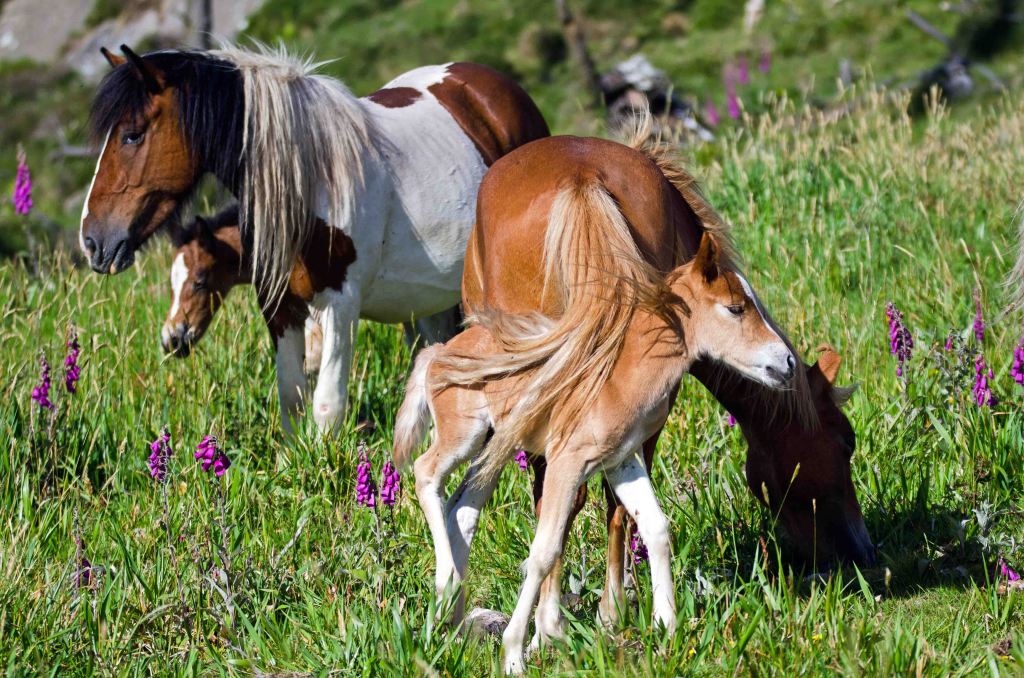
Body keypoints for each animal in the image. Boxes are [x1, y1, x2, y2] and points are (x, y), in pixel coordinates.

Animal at [395, 230, 795, 673]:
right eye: (735, 308)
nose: (788, 363)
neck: (620, 376)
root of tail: (438, 351)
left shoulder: (622, 462)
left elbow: (656, 527)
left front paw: (668, 630)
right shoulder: (566, 463)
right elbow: (544, 552)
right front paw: (514, 654)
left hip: (492, 447)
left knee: (462, 509)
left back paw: (448, 613)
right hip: (465, 434)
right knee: (425, 472)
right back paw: (447, 584)